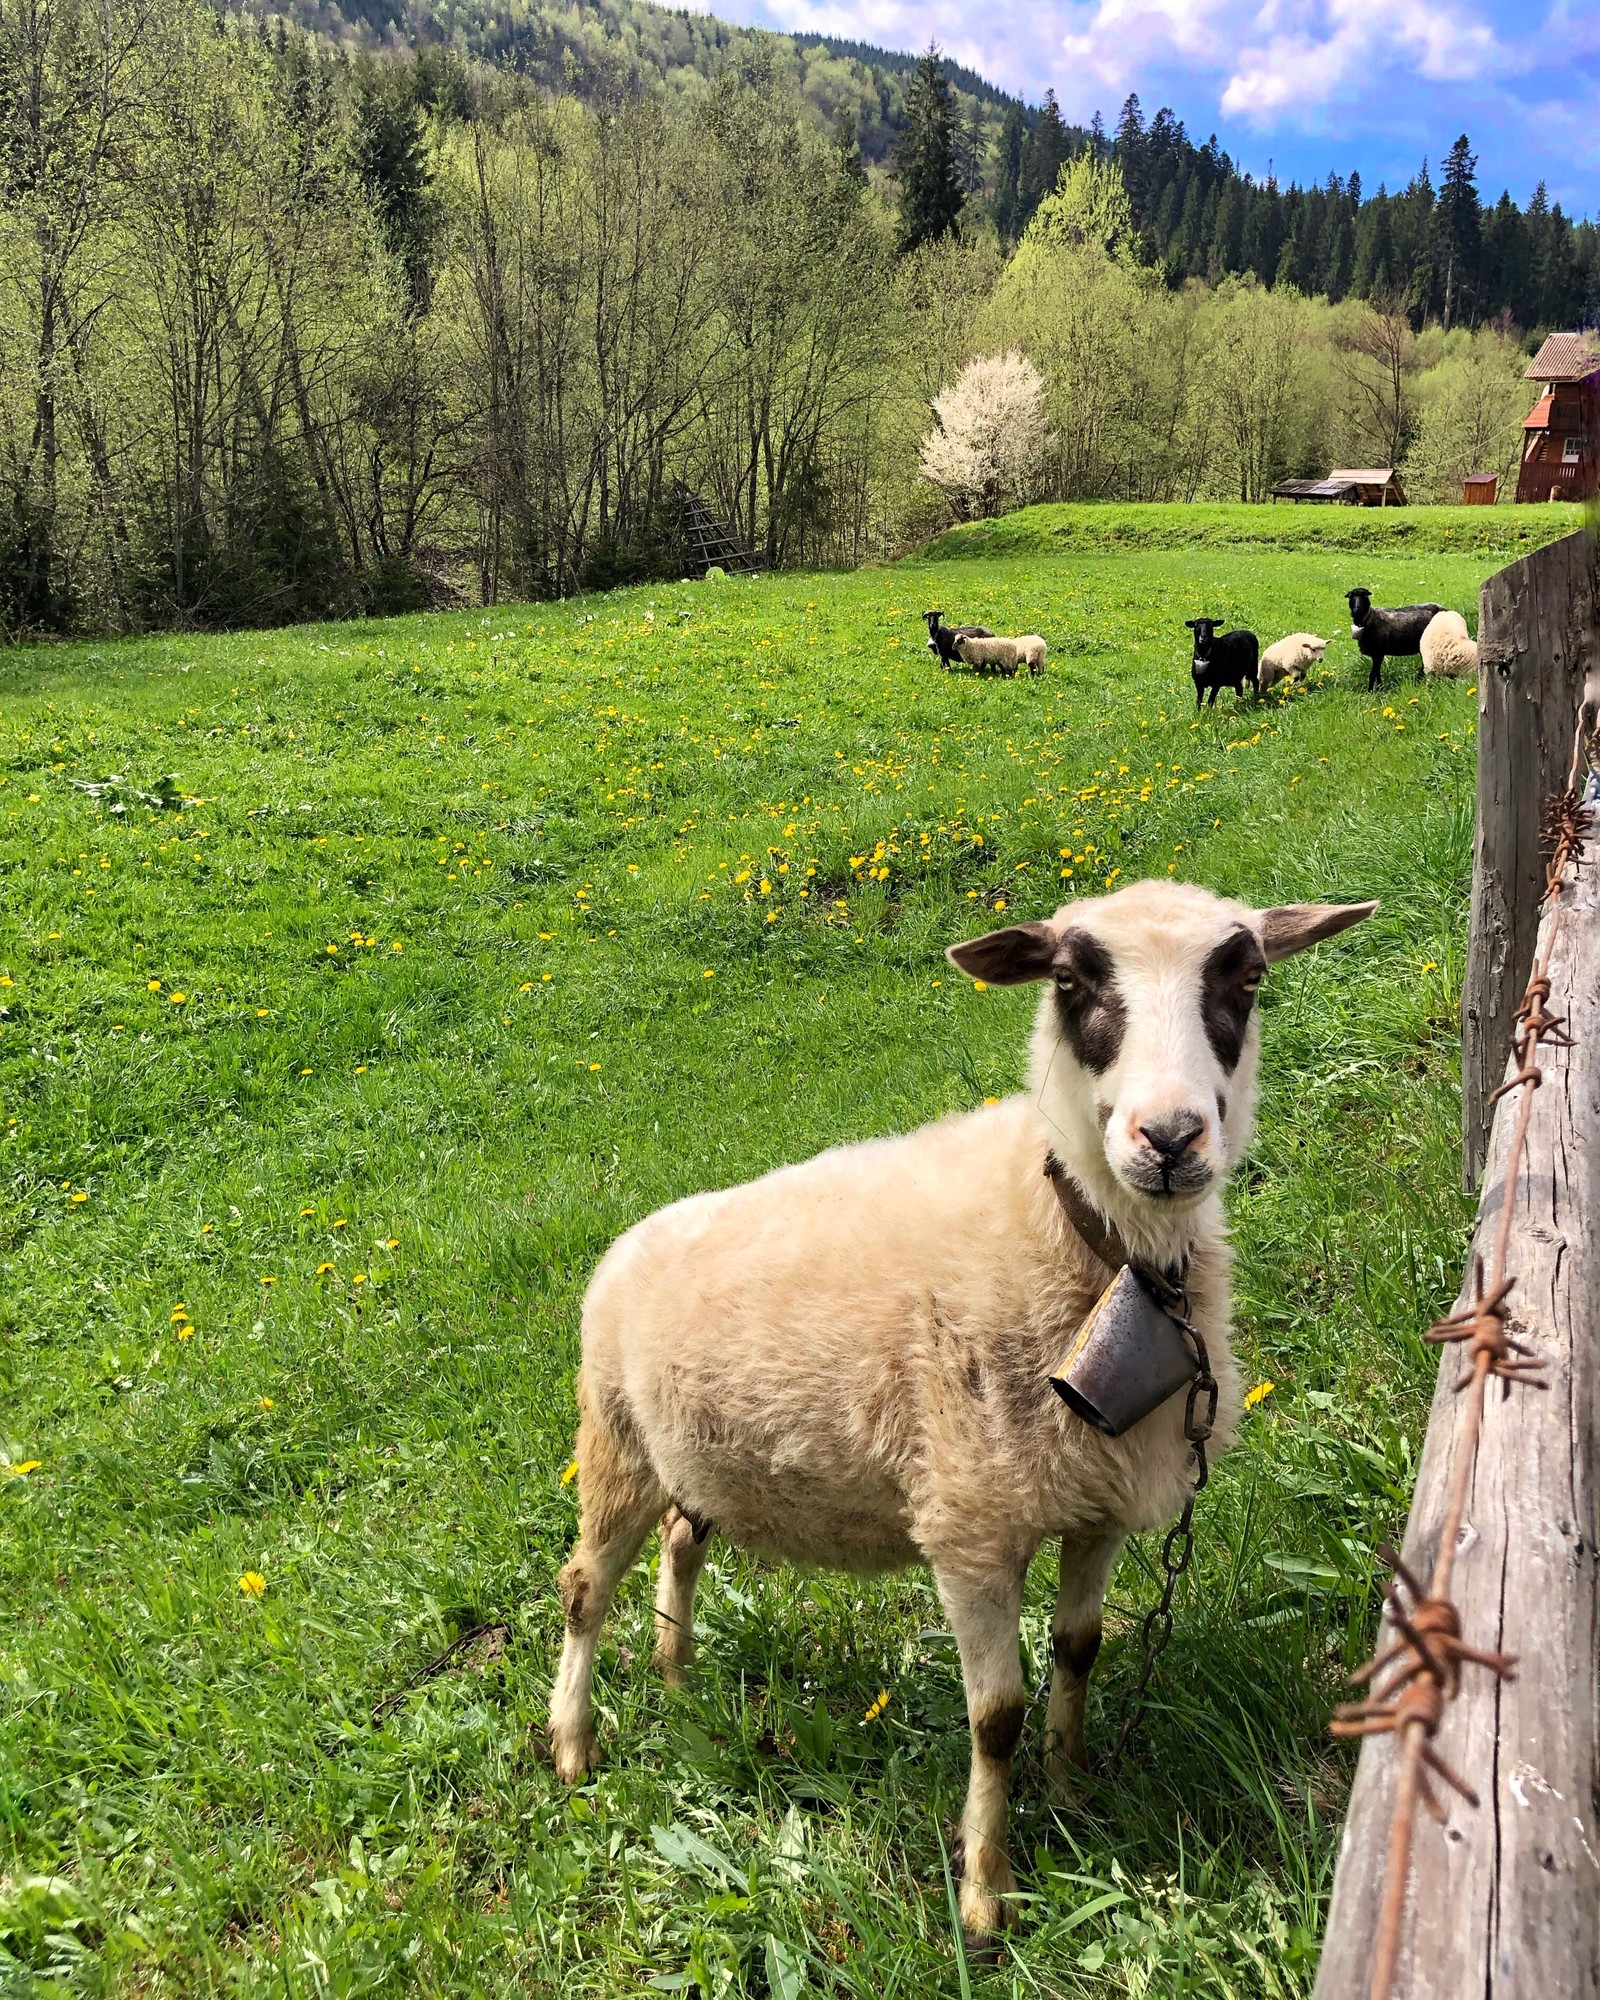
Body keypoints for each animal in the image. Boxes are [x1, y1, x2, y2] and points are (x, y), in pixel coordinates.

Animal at [552, 880, 1376, 1936]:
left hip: (700, 1457)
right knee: (584, 1586)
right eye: (1069, 982)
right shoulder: (972, 1526)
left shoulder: (1097, 1500)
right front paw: (986, 1892)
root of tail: (627, 1242)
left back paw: (678, 1672)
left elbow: (1080, 1648)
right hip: (615, 1440)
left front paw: (1069, 1786)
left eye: (1248, 978)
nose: (1170, 1138)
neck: (1083, 1235)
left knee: (684, 1543)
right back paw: (573, 1744)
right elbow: (996, 1718)